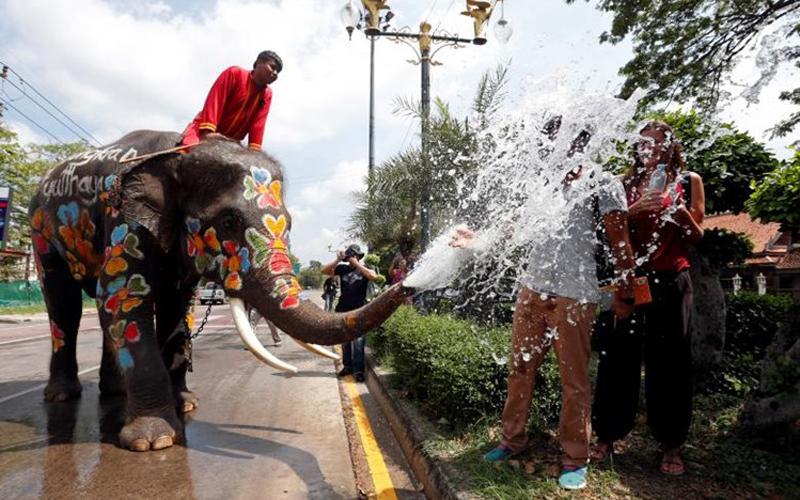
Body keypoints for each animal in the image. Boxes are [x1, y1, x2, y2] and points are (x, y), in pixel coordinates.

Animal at [28, 130, 412, 454]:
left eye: (289, 224)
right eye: (228, 222)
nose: (406, 284)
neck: (180, 152)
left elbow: (176, 307)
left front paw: (186, 403)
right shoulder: (126, 221)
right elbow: (121, 295)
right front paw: (153, 441)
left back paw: (114, 392)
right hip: (41, 232)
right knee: (65, 307)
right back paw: (62, 395)